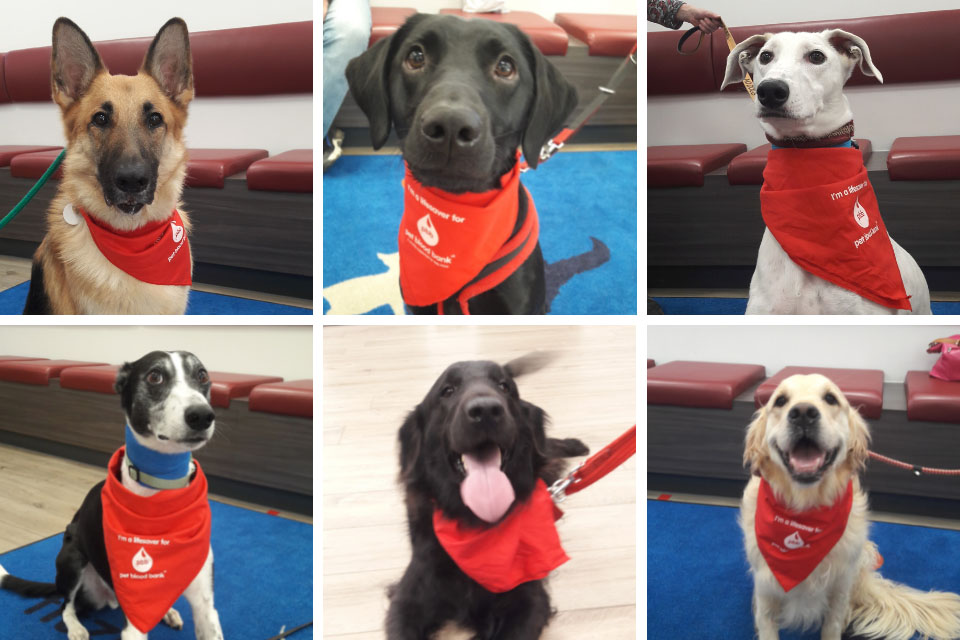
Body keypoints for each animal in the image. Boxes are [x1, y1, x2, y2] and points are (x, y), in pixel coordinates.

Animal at [744, 372, 960, 636]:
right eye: (780, 401)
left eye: (830, 398)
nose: (803, 413)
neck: (804, 510)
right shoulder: (766, 590)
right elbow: (766, 622)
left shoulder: (840, 588)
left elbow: (833, 625)